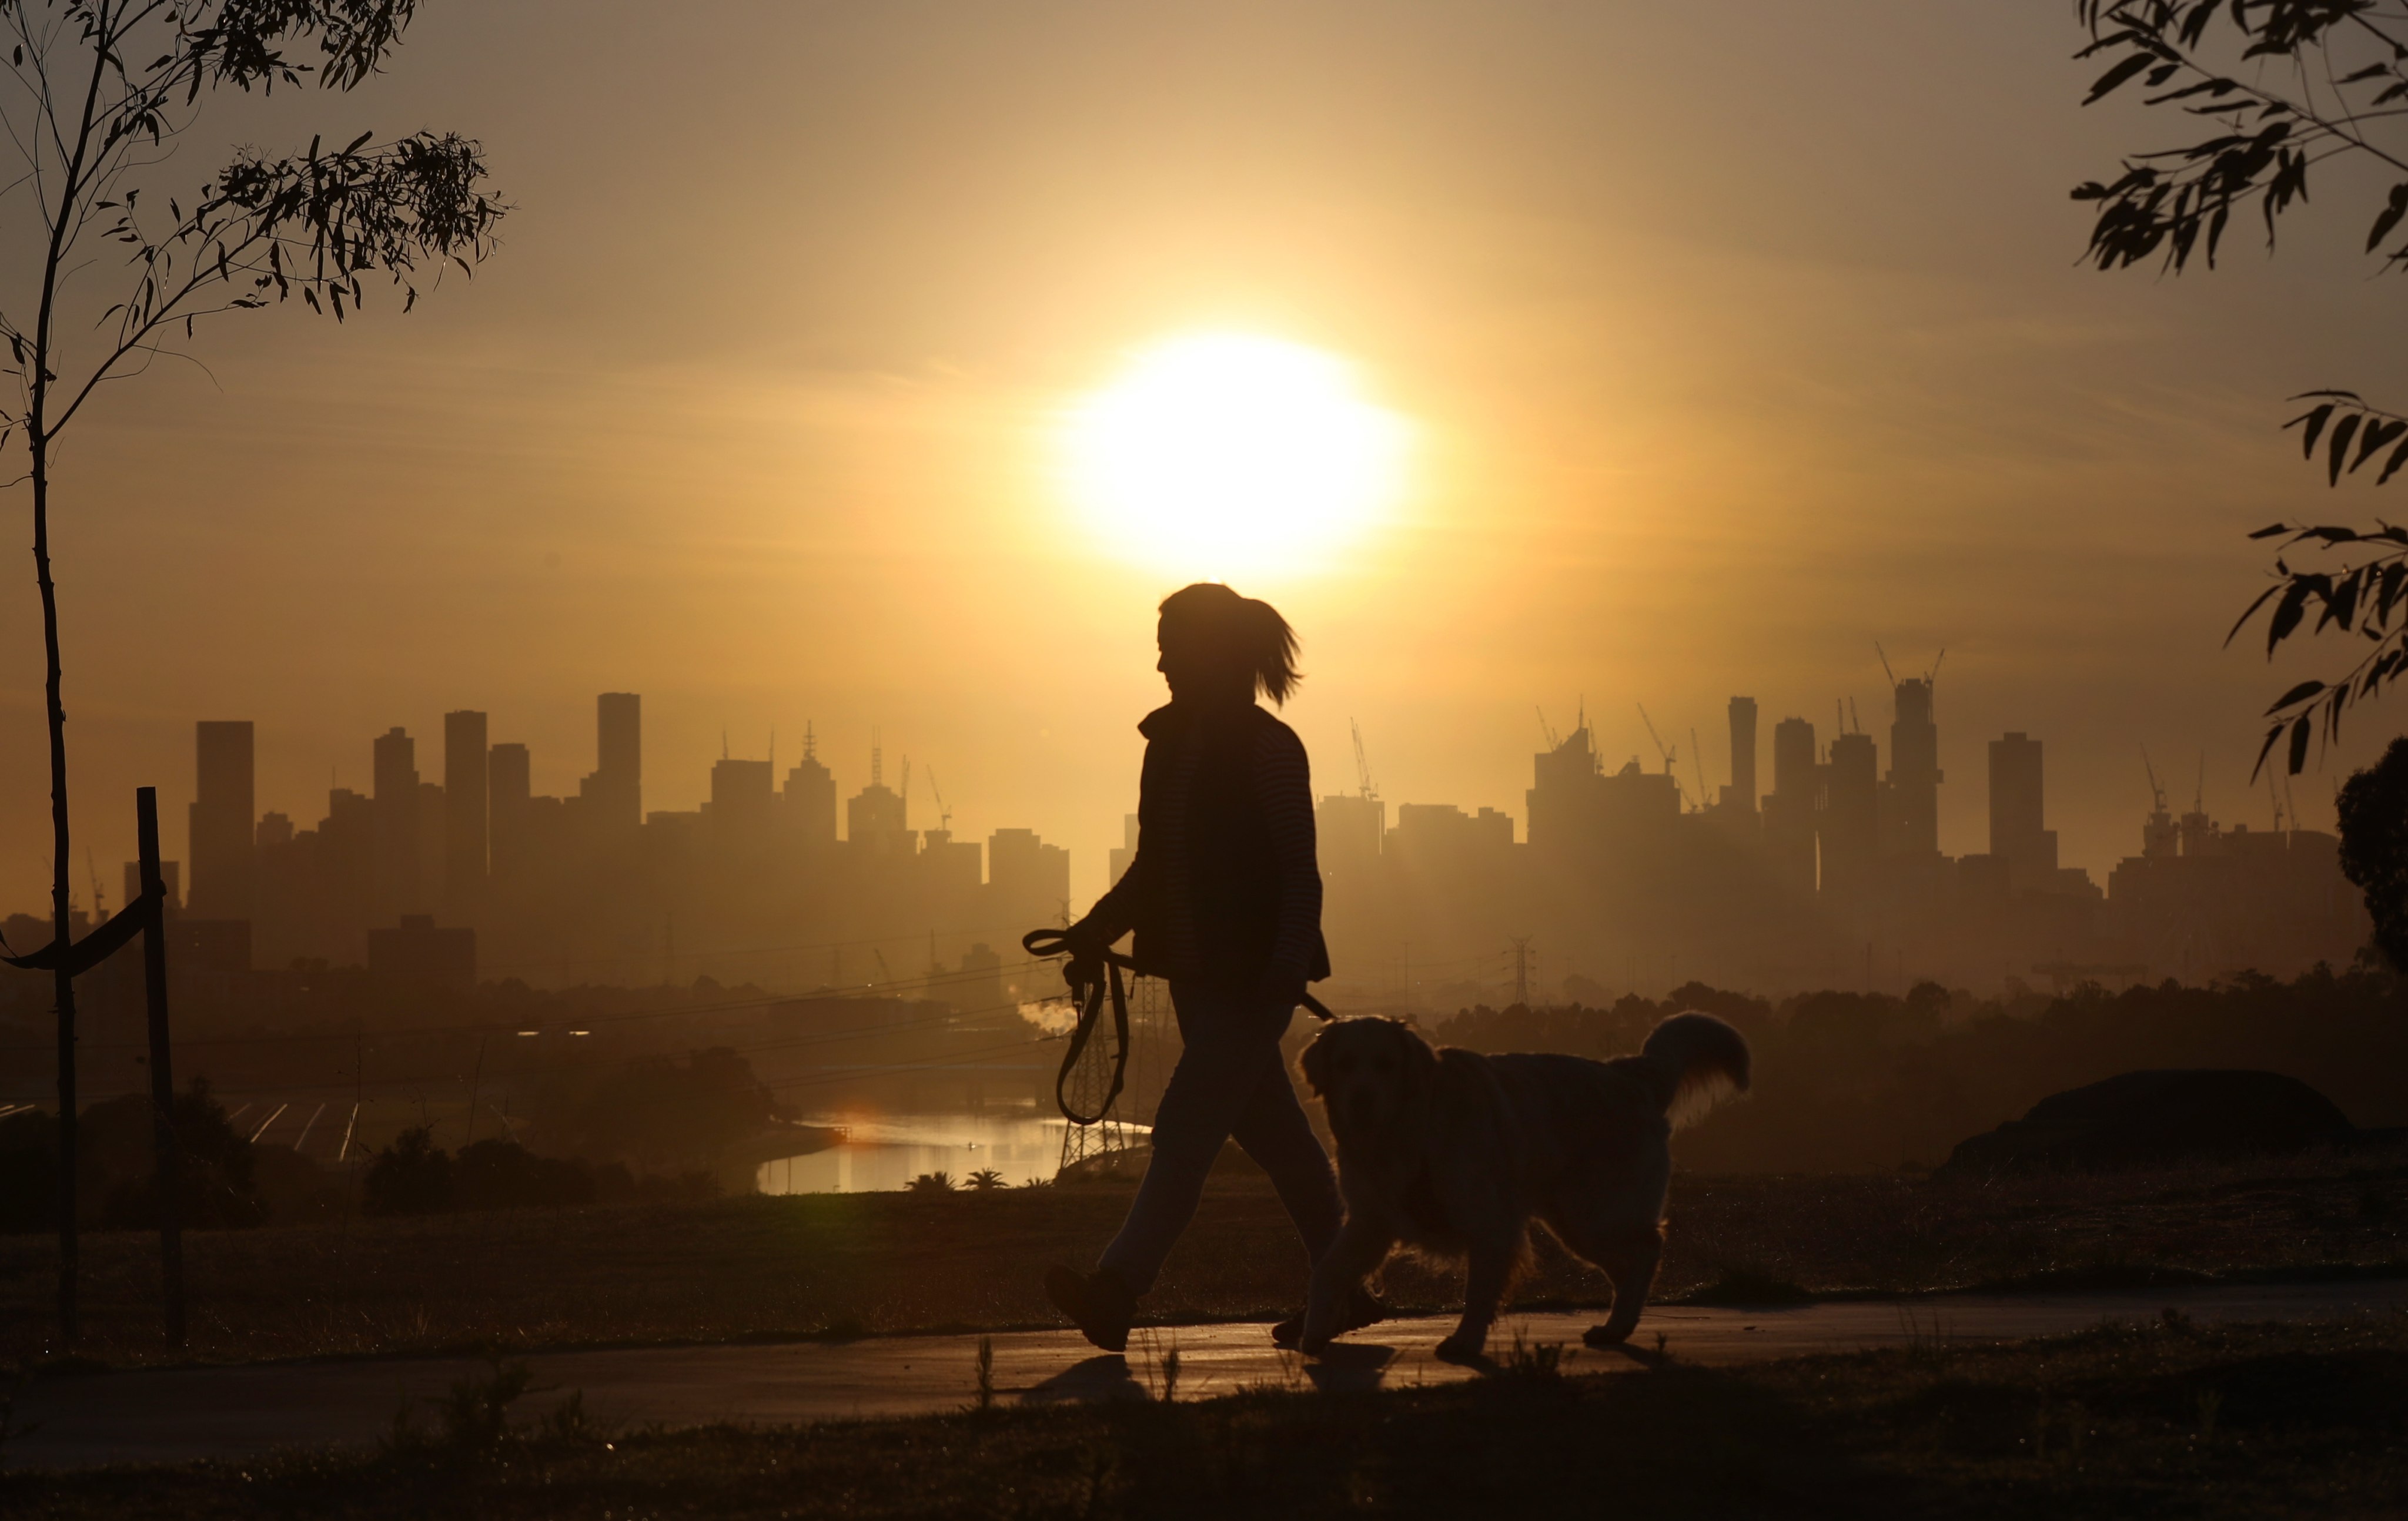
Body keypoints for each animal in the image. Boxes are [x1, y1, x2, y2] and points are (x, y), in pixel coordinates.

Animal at [1300, 1016, 1753, 1357]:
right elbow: (1325, 1273)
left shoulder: (1489, 1223)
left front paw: (1465, 1342)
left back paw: (1620, 1324)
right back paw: (1615, 1326)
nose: (1361, 1099)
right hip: (1577, 1224)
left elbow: (1478, 1293)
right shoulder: (1371, 1222)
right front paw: (1314, 1333)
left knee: (1648, 1248)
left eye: (1385, 1064)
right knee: (1627, 1265)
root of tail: (1630, 1074)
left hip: (1596, 1215)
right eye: (1344, 1063)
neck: (1411, 1126)